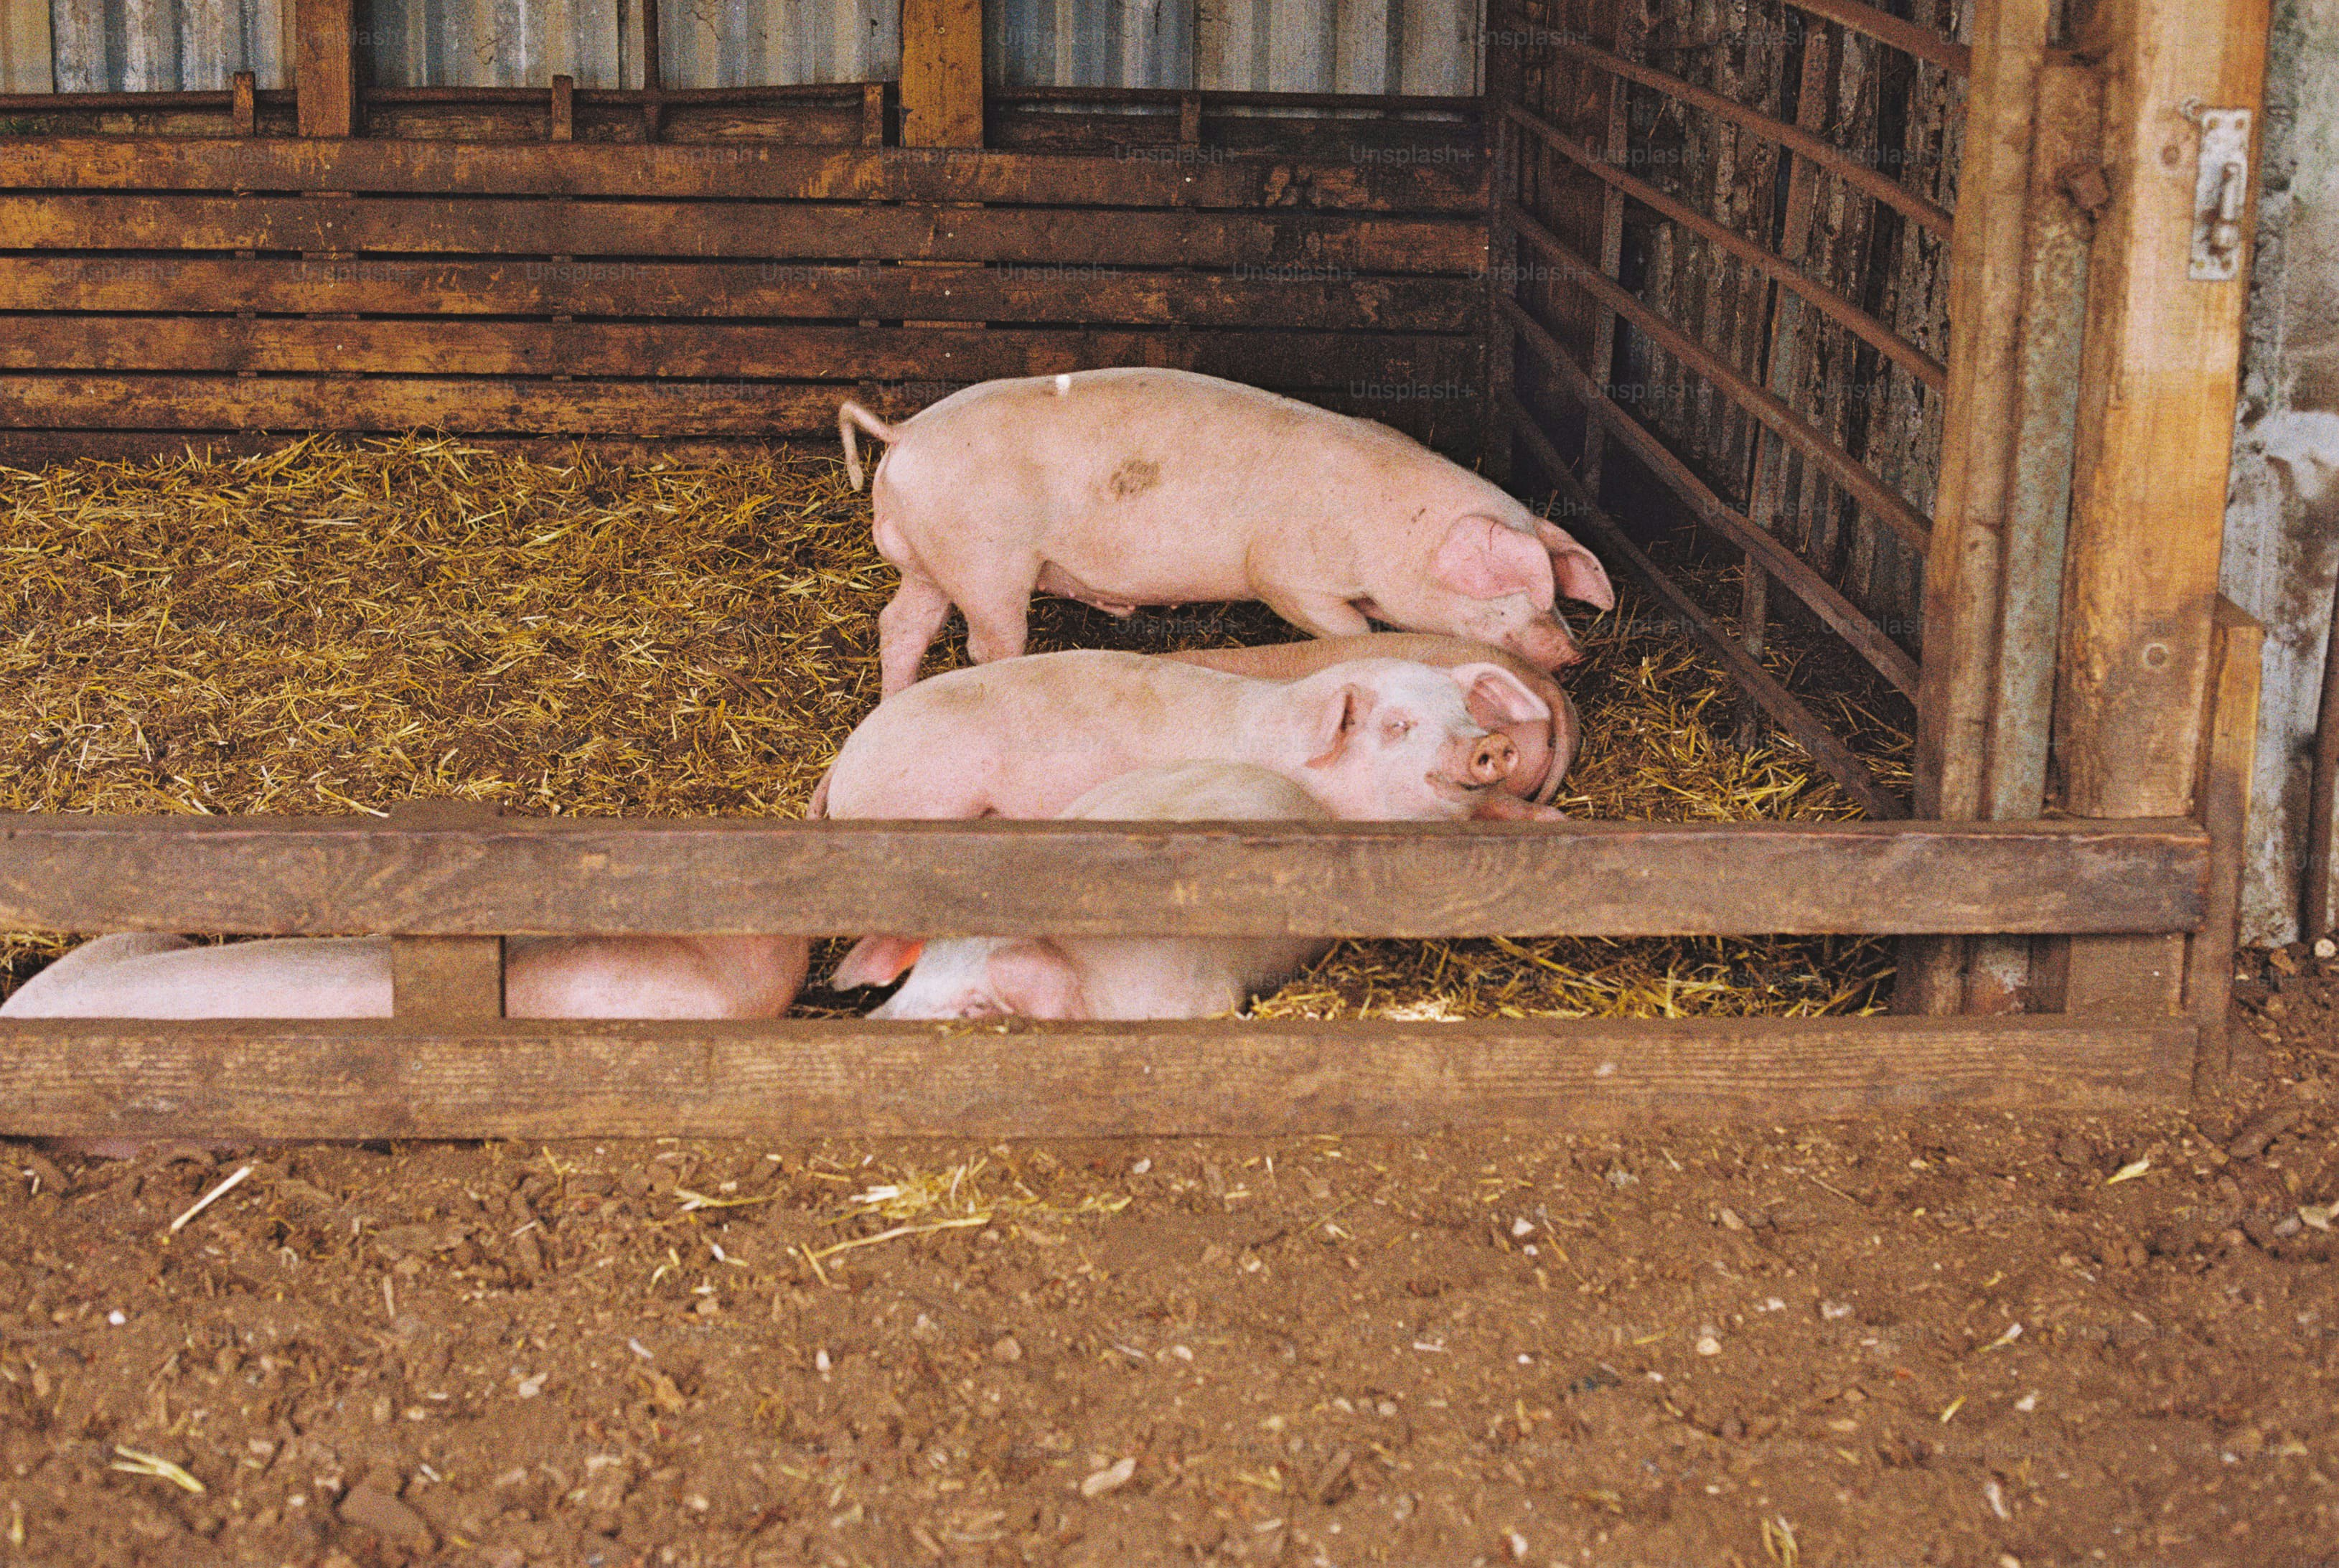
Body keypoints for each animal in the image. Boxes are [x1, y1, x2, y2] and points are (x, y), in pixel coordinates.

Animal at [836, 368, 1615, 695]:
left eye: (1554, 594)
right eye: (1512, 588)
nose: (1572, 653)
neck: (1393, 530)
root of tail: (903, 434)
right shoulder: (1285, 573)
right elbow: (1347, 631)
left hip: (932, 562)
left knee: (900, 625)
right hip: (987, 565)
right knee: (984, 646)